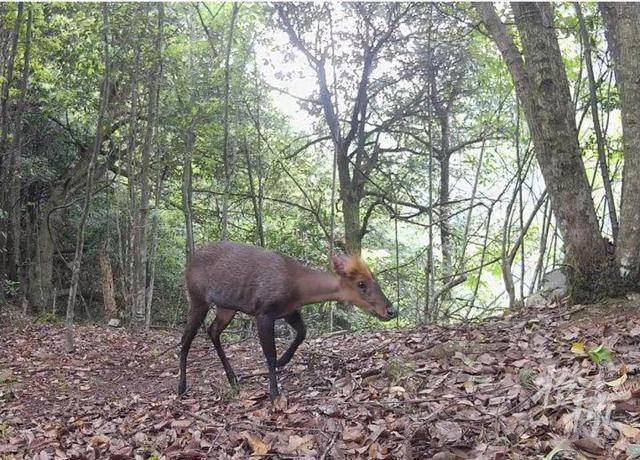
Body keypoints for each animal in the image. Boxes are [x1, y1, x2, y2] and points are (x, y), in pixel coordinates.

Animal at [176, 243, 396, 400]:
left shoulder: (288, 311)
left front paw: (284, 360)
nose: (391, 310)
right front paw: (274, 393)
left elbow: (302, 332)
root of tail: (188, 263)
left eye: (374, 279)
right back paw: (181, 387)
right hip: (197, 298)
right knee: (186, 339)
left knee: (213, 331)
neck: (298, 288)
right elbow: (269, 354)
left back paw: (233, 380)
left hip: (226, 307)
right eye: (361, 284)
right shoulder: (263, 312)